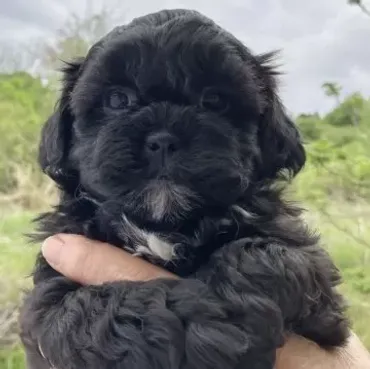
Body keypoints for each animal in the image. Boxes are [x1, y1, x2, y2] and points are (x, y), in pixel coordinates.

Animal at [19, 8, 350, 368]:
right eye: (117, 99)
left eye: (214, 101)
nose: (164, 139)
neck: (165, 225)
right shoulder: (51, 283)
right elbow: (88, 312)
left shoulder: (308, 269)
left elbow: (262, 255)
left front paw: (215, 319)